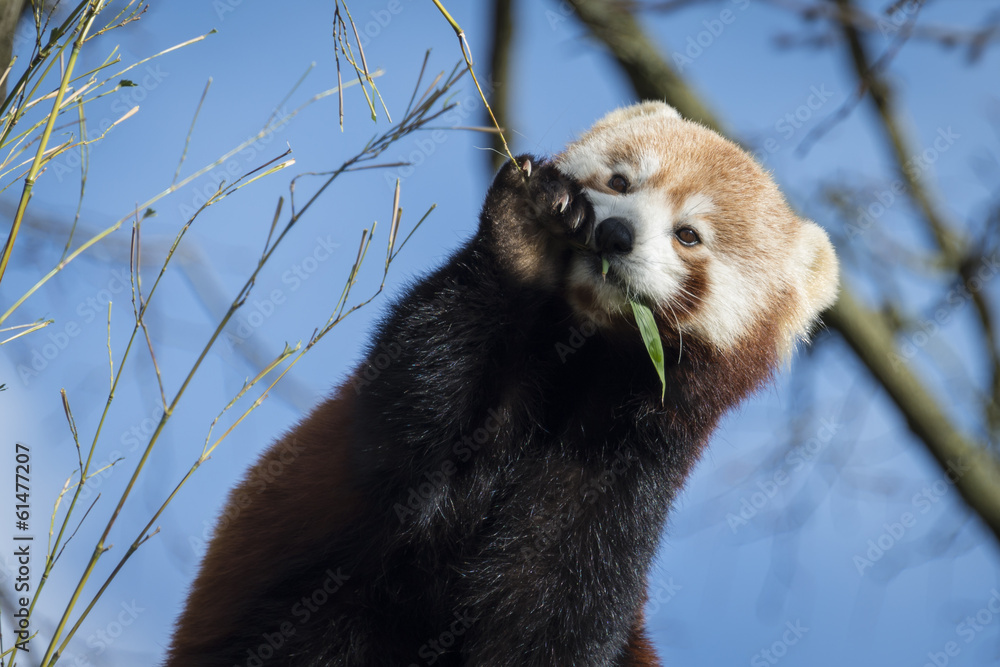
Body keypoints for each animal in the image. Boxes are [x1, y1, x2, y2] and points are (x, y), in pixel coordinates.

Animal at [165, 101, 839, 666]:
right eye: (621, 183)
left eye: (689, 235)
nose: (613, 234)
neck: (580, 362)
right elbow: (404, 448)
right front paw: (524, 236)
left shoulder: (621, 476)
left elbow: (548, 617)